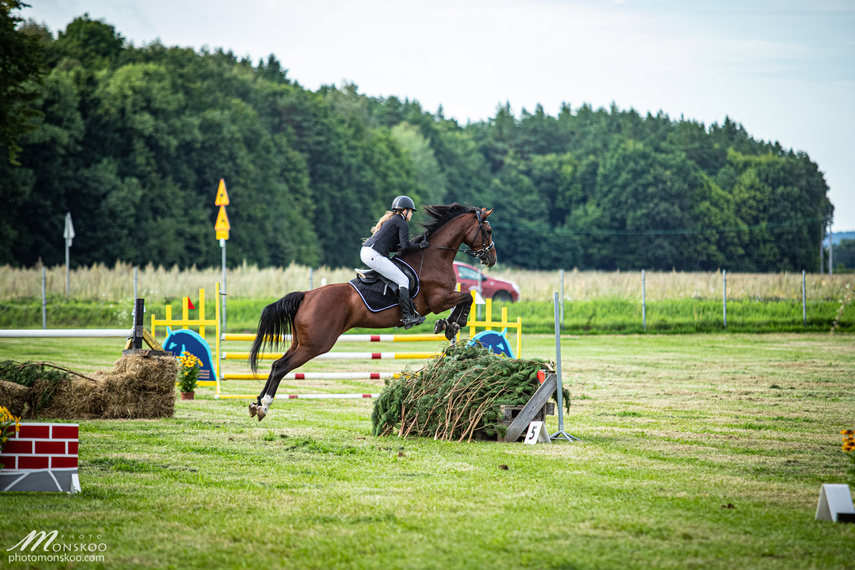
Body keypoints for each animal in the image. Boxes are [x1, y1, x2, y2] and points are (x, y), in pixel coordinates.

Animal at [247, 202, 498, 420]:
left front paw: (448, 325)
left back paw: (256, 403)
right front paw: (452, 324)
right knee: (282, 367)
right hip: (316, 344)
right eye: (488, 230)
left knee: (275, 364)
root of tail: (306, 295)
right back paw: (264, 406)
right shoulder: (438, 300)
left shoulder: (442, 299)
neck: (434, 256)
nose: (492, 259)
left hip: (300, 342)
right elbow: (467, 298)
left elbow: (466, 299)